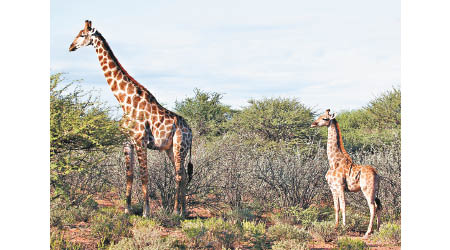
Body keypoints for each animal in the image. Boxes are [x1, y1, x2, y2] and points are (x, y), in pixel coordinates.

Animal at [69, 20, 193, 217]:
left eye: (82, 34)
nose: (71, 47)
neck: (124, 101)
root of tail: (191, 131)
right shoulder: (127, 142)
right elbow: (130, 174)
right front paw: (127, 209)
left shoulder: (140, 140)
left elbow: (144, 175)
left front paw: (146, 211)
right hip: (170, 149)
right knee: (180, 173)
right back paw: (183, 211)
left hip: (179, 146)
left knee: (179, 174)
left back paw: (175, 211)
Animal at [312, 109, 382, 238]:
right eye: (319, 116)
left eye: (325, 118)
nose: (313, 124)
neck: (334, 162)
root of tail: (377, 174)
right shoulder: (332, 187)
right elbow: (336, 207)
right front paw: (335, 226)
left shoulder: (340, 186)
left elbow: (344, 206)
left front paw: (344, 227)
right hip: (376, 191)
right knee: (379, 206)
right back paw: (378, 230)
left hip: (367, 189)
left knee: (372, 207)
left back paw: (367, 232)